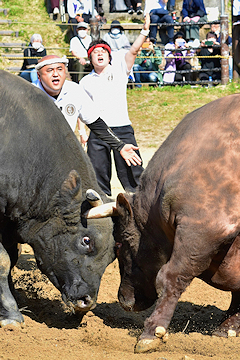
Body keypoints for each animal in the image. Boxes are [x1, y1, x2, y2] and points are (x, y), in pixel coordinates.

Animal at [0, 70, 115, 326]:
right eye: (86, 240)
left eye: (113, 256)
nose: (87, 301)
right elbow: (2, 261)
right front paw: (11, 314)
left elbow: (11, 258)